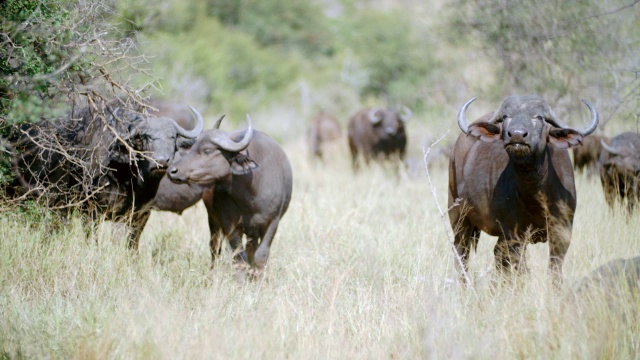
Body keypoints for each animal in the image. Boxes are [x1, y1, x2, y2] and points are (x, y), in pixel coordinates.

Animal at [6, 100, 204, 249]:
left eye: (172, 138)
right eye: (146, 137)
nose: (161, 161)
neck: (130, 178)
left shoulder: (140, 215)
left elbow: (132, 244)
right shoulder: (90, 211)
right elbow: (91, 239)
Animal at [166, 116, 294, 280]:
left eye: (207, 150)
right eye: (193, 148)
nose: (172, 170)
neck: (250, 195)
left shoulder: (273, 222)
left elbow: (260, 255)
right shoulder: (230, 224)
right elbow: (239, 257)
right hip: (213, 220)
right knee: (215, 248)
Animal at [448, 96, 596, 284]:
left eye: (539, 117)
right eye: (505, 116)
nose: (517, 135)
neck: (535, 195)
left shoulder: (562, 232)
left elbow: (554, 270)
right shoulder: (514, 235)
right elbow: (521, 270)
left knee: (497, 255)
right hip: (459, 218)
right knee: (462, 253)